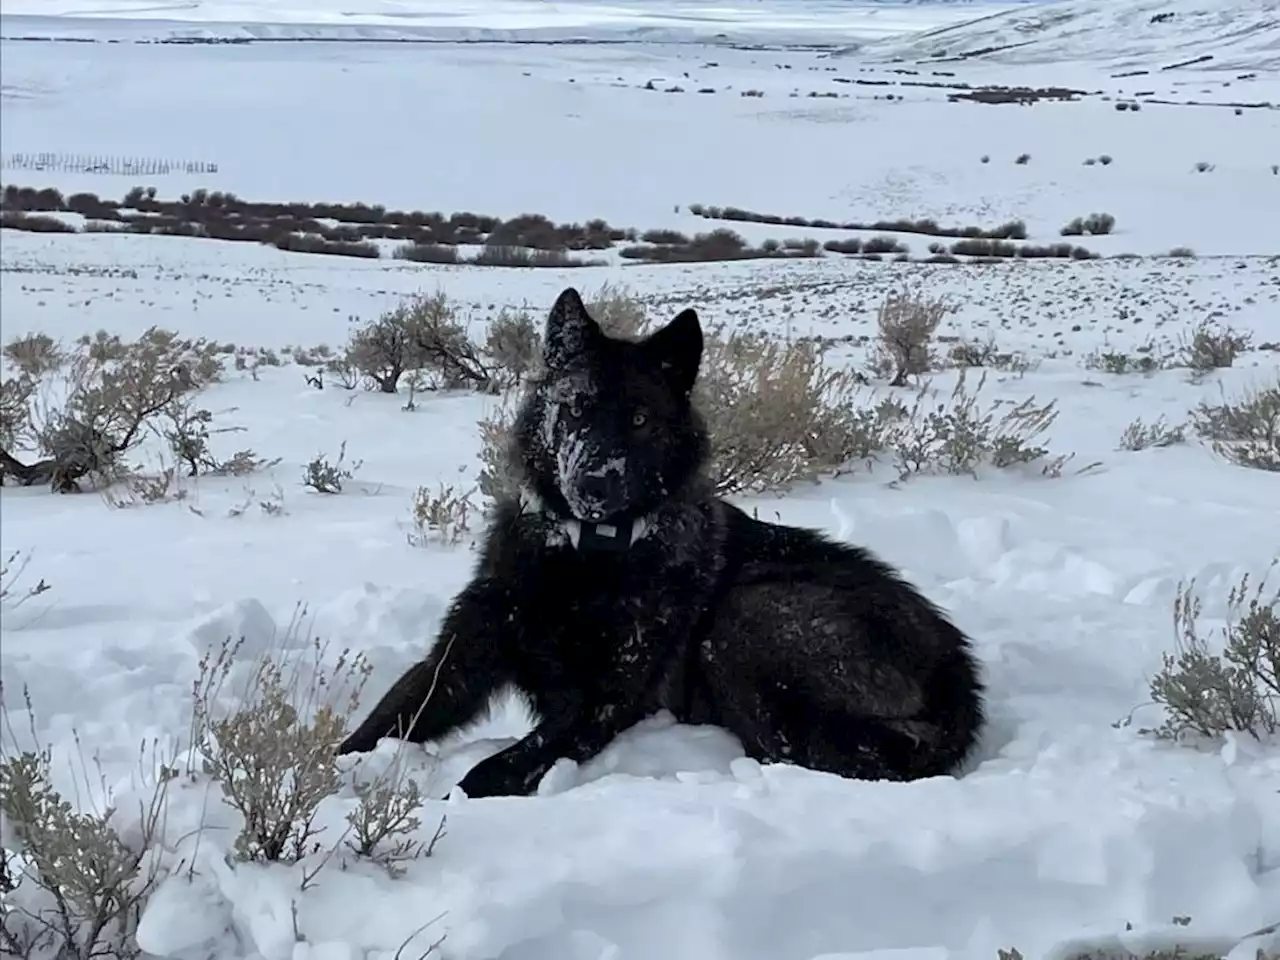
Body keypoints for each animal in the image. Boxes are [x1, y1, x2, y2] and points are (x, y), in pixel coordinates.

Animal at [337, 285, 977, 798]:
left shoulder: (602, 703)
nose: (594, 481)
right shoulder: (460, 658)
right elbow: (381, 723)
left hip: (747, 617)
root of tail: (959, 676)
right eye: (576, 407)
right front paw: (330, 779)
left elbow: (495, 769)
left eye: (641, 419)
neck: (586, 556)